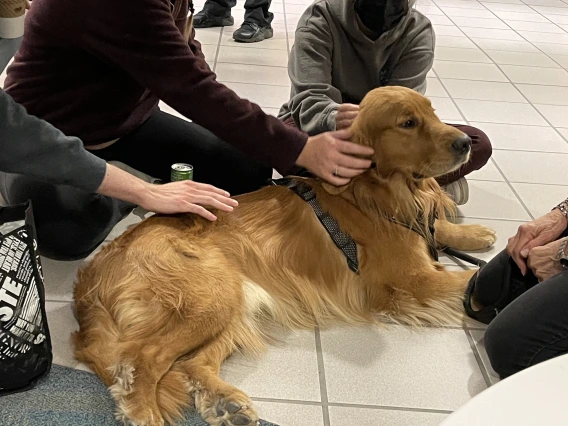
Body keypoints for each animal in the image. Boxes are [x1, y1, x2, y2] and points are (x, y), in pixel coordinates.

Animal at [72, 86, 496, 426]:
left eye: (433, 113)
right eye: (408, 123)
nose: (465, 142)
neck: (370, 192)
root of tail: (96, 268)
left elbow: (437, 229)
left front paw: (474, 234)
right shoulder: (412, 281)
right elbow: (472, 278)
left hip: (234, 301)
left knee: (192, 362)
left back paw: (225, 403)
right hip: (209, 297)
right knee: (142, 358)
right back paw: (148, 414)